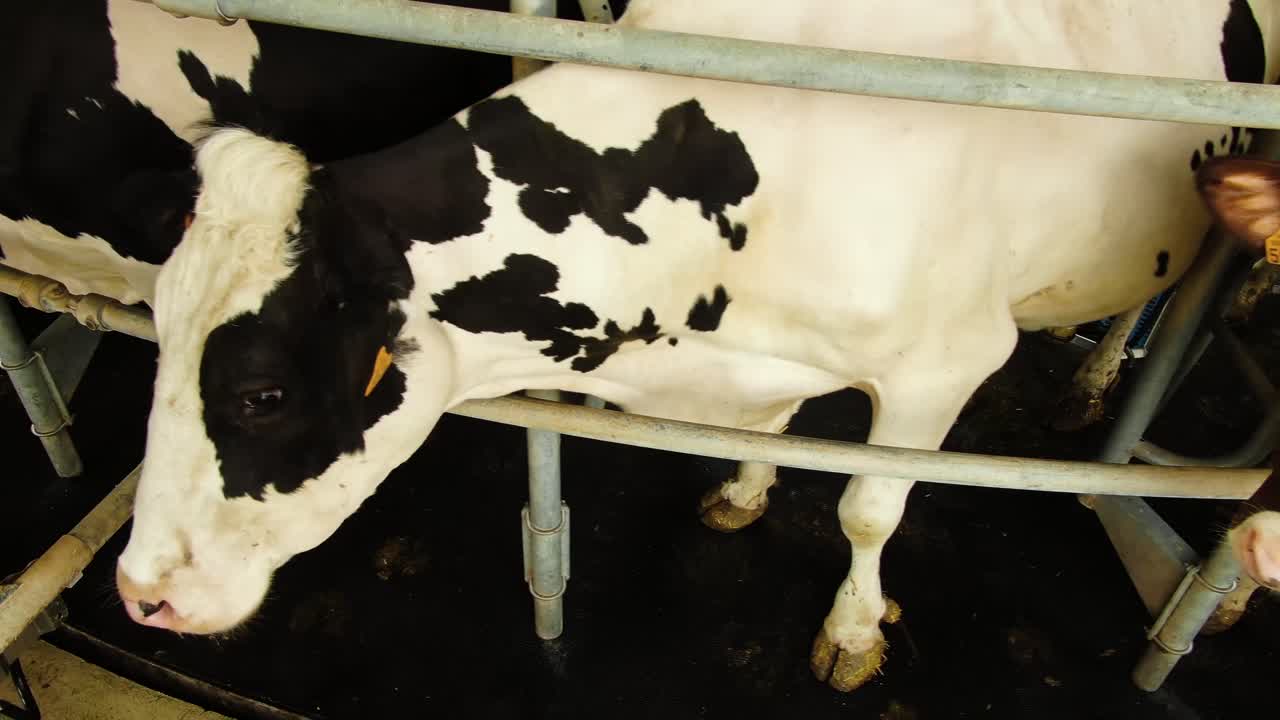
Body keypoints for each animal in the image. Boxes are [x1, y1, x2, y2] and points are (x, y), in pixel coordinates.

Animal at [114, 0, 1280, 692]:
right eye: (155, 336)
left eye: (260, 395)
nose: (139, 595)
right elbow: (774, 435)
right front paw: (747, 489)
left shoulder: (943, 367)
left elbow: (868, 508)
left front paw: (853, 633)